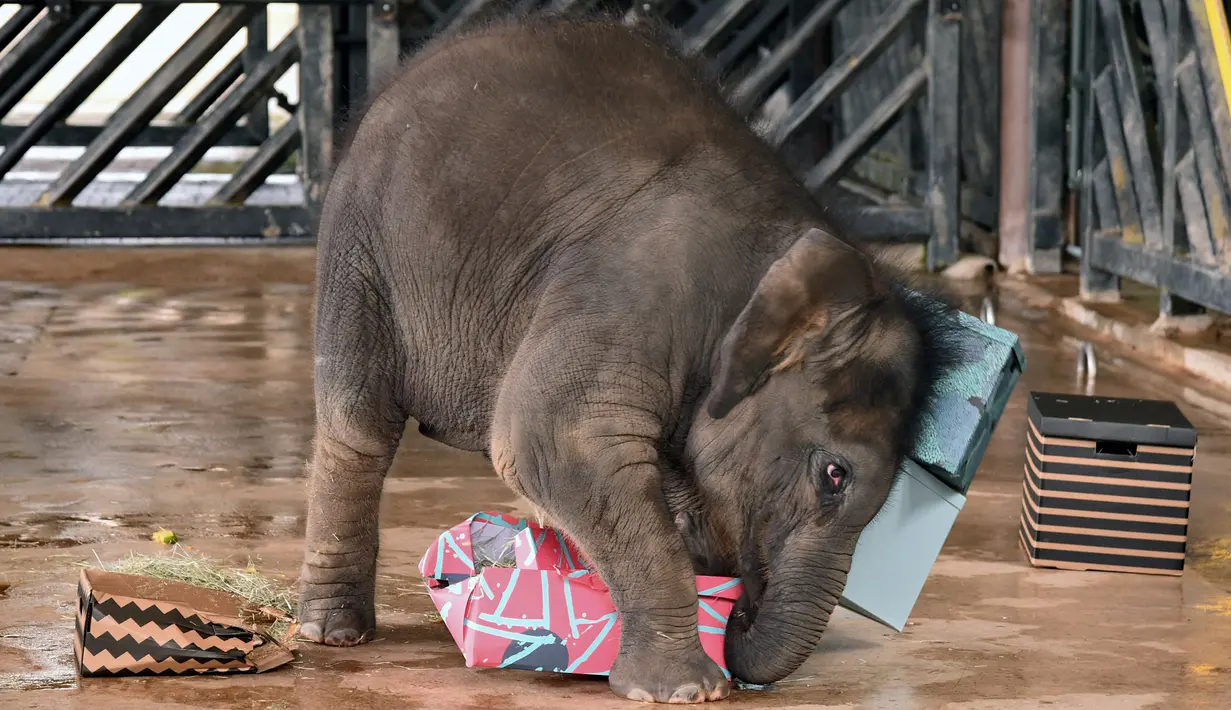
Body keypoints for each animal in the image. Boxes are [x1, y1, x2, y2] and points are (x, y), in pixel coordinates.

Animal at [300, 11, 950, 703]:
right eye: (834, 475)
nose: (739, 612)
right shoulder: (631, 294)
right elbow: (551, 441)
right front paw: (687, 689)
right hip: (361, 250)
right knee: (359, 428)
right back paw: (334, 632)